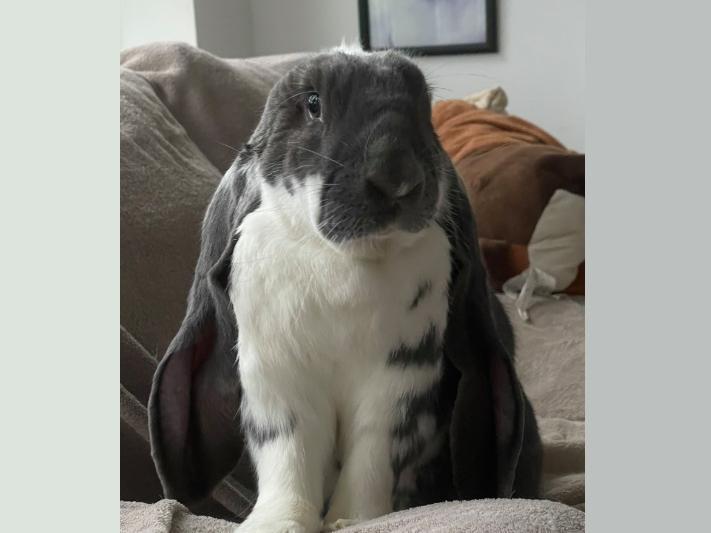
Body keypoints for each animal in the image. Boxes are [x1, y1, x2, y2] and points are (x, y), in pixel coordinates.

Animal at [148, 45, 542, 533]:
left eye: (425, 106)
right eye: (313, 104)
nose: (397, 177)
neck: (341, 259)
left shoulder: (399, 381)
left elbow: (371, 453)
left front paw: (352, 520)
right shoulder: (276, 378)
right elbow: (289, 454)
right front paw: (277, 523)